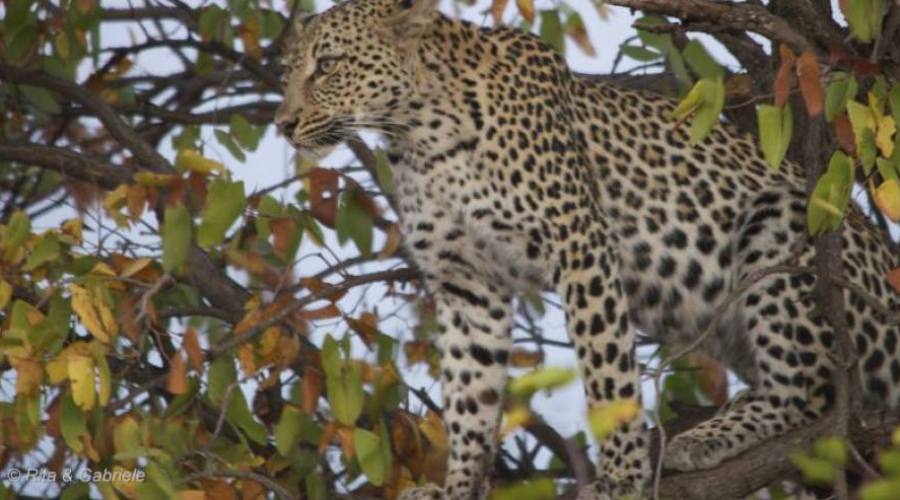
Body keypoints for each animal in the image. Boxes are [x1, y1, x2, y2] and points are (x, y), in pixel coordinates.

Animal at [274, 0, 900, 498]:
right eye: (289, 72)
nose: (283, 124)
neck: (420, 138)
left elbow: (607, 370)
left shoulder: (579, 243)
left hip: (788, 224)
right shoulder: (467, 283)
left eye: (328, 66)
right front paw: (457, 487)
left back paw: (701, 438)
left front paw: (621, 475)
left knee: (809, 390)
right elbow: (469, 397)